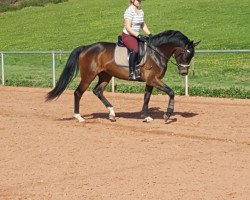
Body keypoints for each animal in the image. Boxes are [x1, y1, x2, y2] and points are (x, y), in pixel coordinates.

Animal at [46, 29, 199, 122]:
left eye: (192, 56)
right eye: (185, 54)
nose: (184, 72)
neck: (156, 52)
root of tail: (86, 47)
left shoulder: (150, 81)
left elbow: (146, 97)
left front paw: (146, 116)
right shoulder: (153, 79)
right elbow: (171, 92)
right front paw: (167, 114)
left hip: (105, 76)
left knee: (98, 91)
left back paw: (112, 114)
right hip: (88, 76)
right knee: (78, 92)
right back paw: (79, 117)